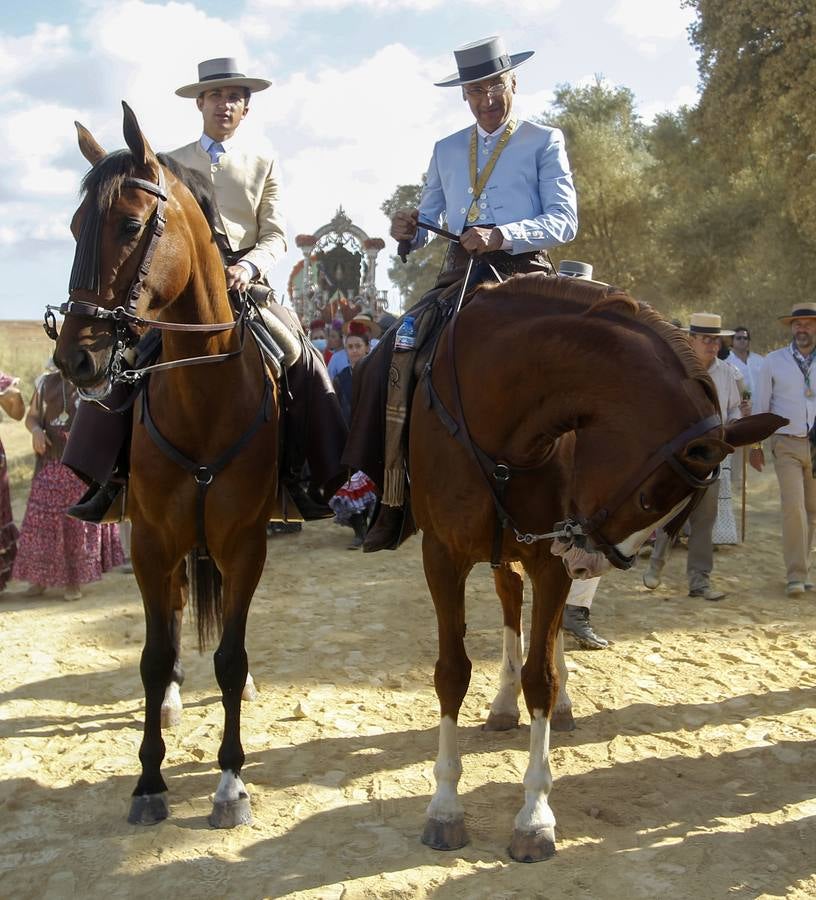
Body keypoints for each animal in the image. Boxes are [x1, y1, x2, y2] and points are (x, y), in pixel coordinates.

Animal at [50, 105, 278, 828]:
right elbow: (152, 658)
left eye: (128, 225)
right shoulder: (150, 541)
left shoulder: (244, 542)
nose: (75, 359)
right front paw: (148, 781)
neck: (205, 400)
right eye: (73, 227)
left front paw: (231, 782)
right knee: (175, 617)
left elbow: (230, 657)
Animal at [408, 278, 784, 860]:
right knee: (512, 607)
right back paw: (502, 704)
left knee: (545, 634)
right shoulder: (442, 556)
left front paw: (534, 815)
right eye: (652, 498)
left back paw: (555, 703)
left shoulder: (547, 557)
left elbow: (541, 674)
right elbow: (452, 672)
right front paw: (445, 806)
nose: (587, 559)